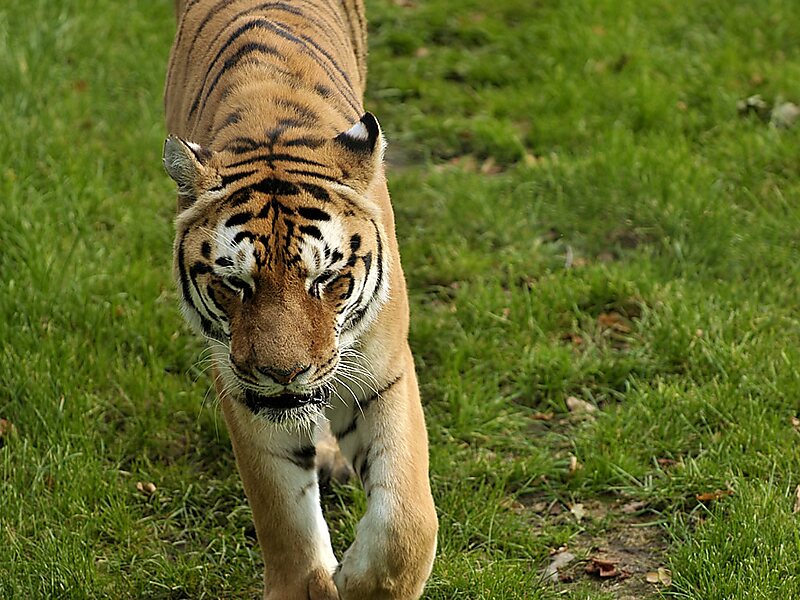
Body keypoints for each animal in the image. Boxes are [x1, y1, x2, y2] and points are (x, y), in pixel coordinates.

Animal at [162, 1, 438, 599]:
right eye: (234, 285)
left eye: (326, 280)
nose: (284, 374)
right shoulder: (242, 386)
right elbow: (281, 509)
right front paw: (311, 583)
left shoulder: (386, 369)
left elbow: (407, 520)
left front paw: (363, 582)